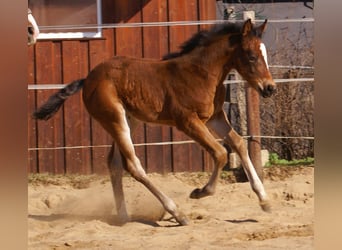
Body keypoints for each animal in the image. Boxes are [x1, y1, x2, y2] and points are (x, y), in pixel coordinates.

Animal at [33, 19, 276, 226]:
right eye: (251, 56)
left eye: (264, 54)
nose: (269, 88)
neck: (202, 74)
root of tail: (88, 79)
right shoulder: (187, 121)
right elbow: (220, 153)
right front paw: (199, 192)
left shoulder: (215, 116)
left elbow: (238, 143)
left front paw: (264, 200)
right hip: (114, 119)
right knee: (133, 165)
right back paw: (177, 213)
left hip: (130, 120)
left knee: (114, 162)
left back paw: (124, 216)